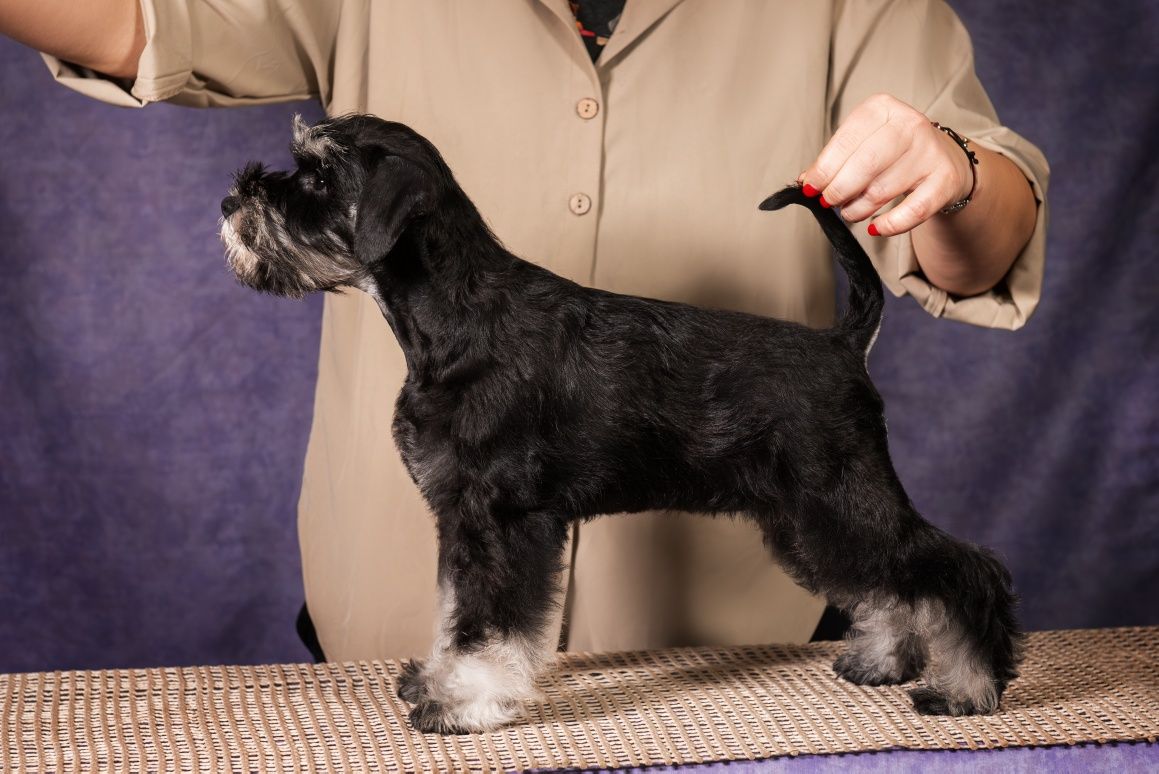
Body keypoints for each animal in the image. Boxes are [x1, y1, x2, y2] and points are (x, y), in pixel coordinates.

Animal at [220, 114, 1022, 734]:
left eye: (319, 178)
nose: (233, 199)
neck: (454, 319)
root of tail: (843, 343)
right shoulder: (460, 519)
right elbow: (454, 609)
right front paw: (436, 680)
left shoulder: (502, 517)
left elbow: (488, 620)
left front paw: (466, 704)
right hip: (807, 519)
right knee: (888, 585)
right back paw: (882, 661)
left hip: (838, 499)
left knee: (958, 568)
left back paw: (965, 687)